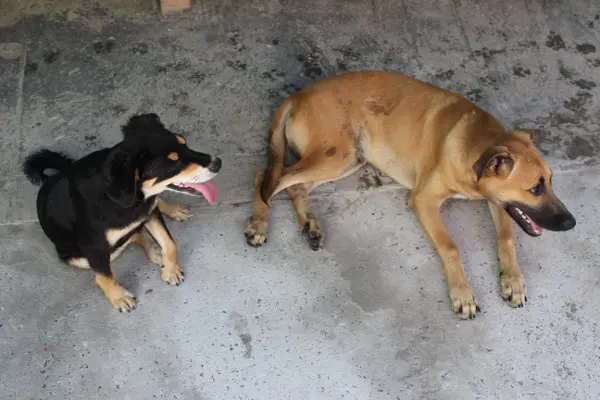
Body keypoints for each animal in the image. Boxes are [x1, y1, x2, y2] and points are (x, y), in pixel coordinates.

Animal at [24, 112, 220, 312]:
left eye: (184, 143)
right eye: (174, 162)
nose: (218, 163)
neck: (124, 200)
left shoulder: (149, 213)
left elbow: (170, 243)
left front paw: (170, 270)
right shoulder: (94, 247)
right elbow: (104, 277)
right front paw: (118, 297)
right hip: (77, 257)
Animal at [245, 69, 576, 318]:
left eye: (551, 181)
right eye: (535, 188)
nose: (571, 223)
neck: (475, 147)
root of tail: (298, 95)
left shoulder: (500, 203)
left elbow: (506, 238)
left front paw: (513, 281)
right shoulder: (423, 200)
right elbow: (451, 247)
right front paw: (463, 294)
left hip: (348, 158)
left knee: (295, 186)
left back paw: (310, 226)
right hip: (335, 154)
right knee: (267, 176)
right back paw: (259, 224)